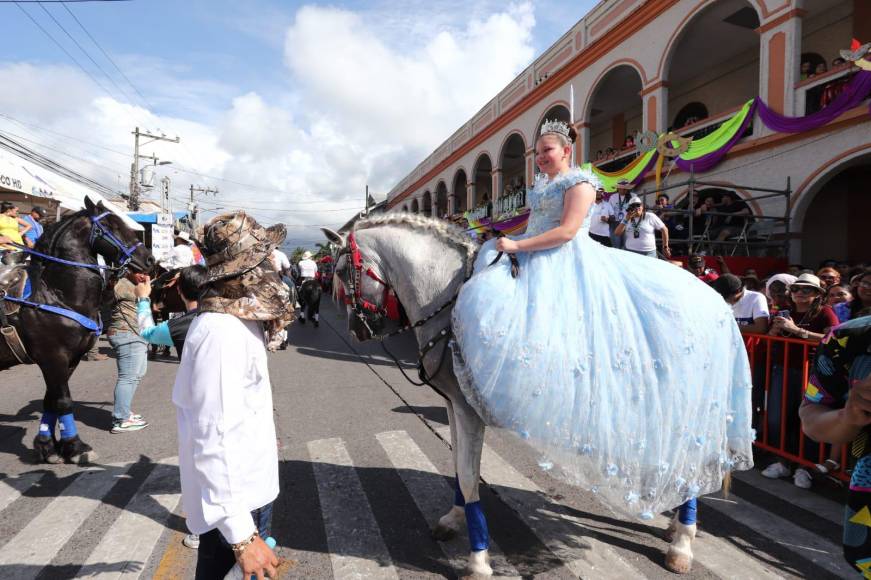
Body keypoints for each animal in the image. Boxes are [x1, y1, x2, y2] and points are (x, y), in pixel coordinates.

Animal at [0, 197, 155, 464]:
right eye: (111, 225)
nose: (149, 260)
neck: (54, 294)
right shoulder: (53, 357)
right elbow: (63, 401)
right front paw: (75, 447)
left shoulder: (71, 358)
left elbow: (50, 401)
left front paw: (48, 447)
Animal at [328, 215, 700, 576]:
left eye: (341, 272)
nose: (356, 331)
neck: (447, 298)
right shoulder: (451, 404)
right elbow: (459, 465)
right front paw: (453, 520)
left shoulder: (468, 410)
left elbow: (468, 475)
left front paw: (478, 560)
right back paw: (675, 524)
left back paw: (681, 544)